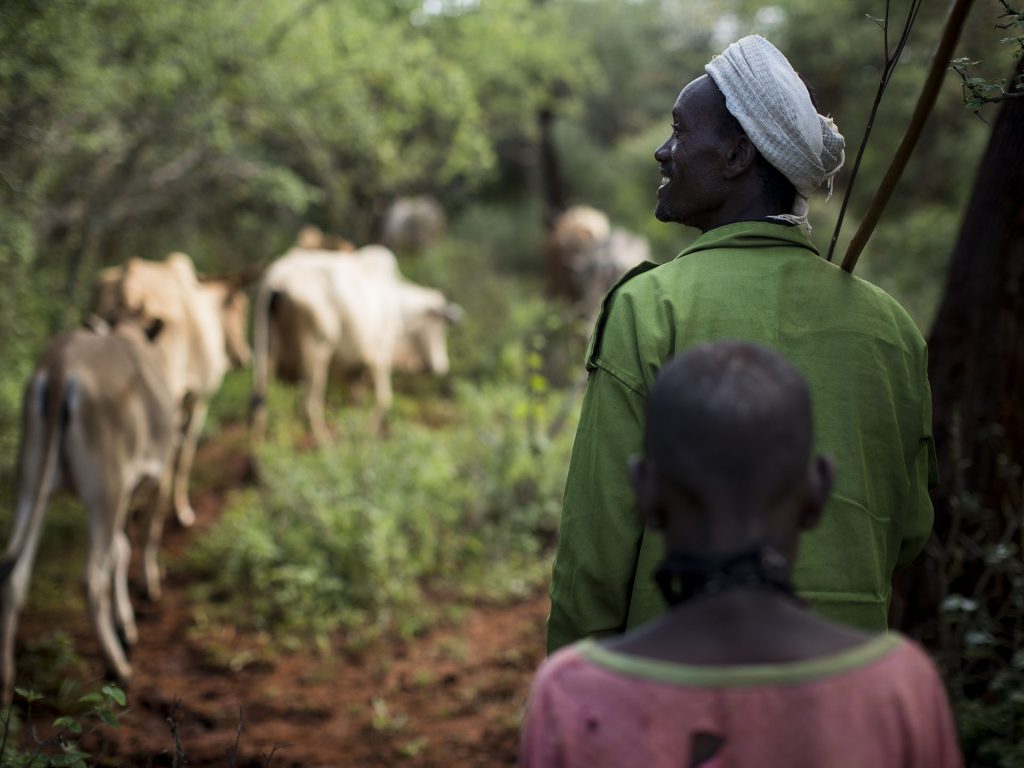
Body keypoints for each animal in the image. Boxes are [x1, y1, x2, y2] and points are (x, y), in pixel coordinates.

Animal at [0, 321, 176, 700]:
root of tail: (61, 362)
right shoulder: (153, 477)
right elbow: (142, 537)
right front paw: (141, 601)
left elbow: (121, 550)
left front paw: (126, 622)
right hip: (105, 488)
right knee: (91, 577)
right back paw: (117, 665)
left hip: (31, 482)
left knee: (14, 574)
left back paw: (5, 681)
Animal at [251, 243, 460, 442]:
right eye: (441, 326)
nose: (442, 366)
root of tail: (279, 277)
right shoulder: (379, 355)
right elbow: (384, 398)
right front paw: (367, 434)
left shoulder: (355, 370)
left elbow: (355, 403)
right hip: (317, 350)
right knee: (308, 403)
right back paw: (323, 441)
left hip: (264, 345)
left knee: (260, 398)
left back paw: (259, 443)